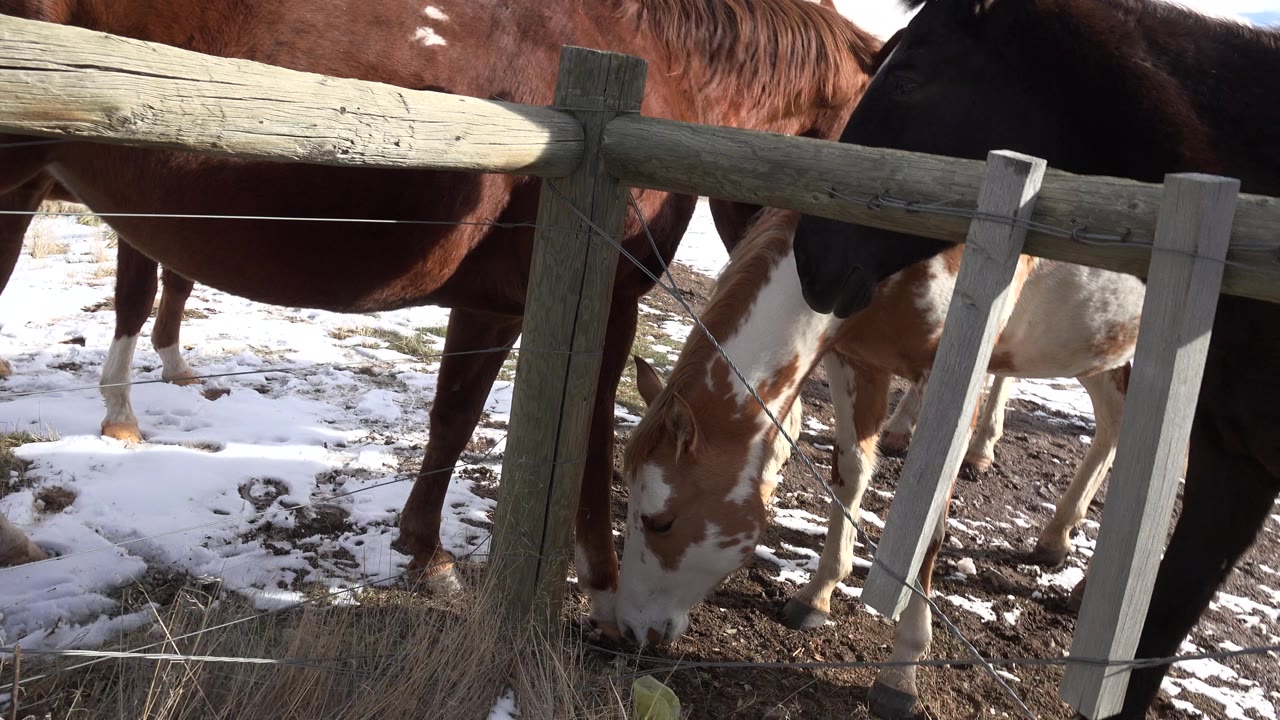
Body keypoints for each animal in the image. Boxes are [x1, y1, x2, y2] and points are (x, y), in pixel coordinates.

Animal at [0, 0, 881, 632]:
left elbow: (453, 419)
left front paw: (424, 552)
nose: (851, 288)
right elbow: (590, 442)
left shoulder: (488, 306)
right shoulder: (604, 309)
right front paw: (602, 589)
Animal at [612, 207, 1143, 708]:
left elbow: (929, 528)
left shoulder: (951, 387)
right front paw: (819, 593)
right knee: (1114, 424)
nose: (630, 628)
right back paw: (1058, 541)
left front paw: (902, 669)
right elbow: (849, 472)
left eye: (660, 521)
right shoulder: (853, 358)